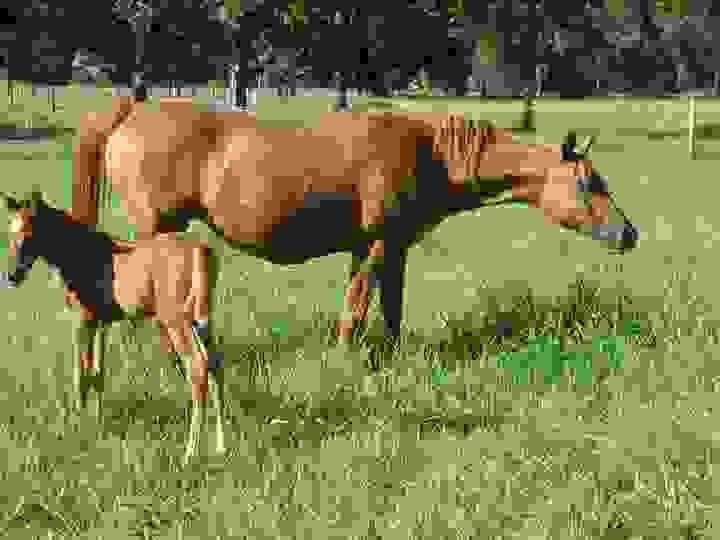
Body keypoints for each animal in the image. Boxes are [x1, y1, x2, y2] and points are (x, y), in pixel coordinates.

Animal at [0, 190, 224, 464]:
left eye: (30, 232)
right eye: (11, 233)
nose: (12, 276)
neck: (76, 251)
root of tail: (200, 252)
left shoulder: (84, 317)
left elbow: (82, 374)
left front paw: (79, 425)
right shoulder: (102, 321)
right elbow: (98, 373)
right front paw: (97, 423)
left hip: (176, 320)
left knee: (198, 367)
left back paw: (189, 453)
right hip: (202, 319)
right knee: (215, 365)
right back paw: (221, 447)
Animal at [73, 99, 639, 355]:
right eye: (590, 183)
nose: (629, 234)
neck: (432, 154)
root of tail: (133, 111)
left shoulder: (391, 247)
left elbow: (389, 307)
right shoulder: (376, 244)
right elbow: (359, 305)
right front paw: (348, 356)